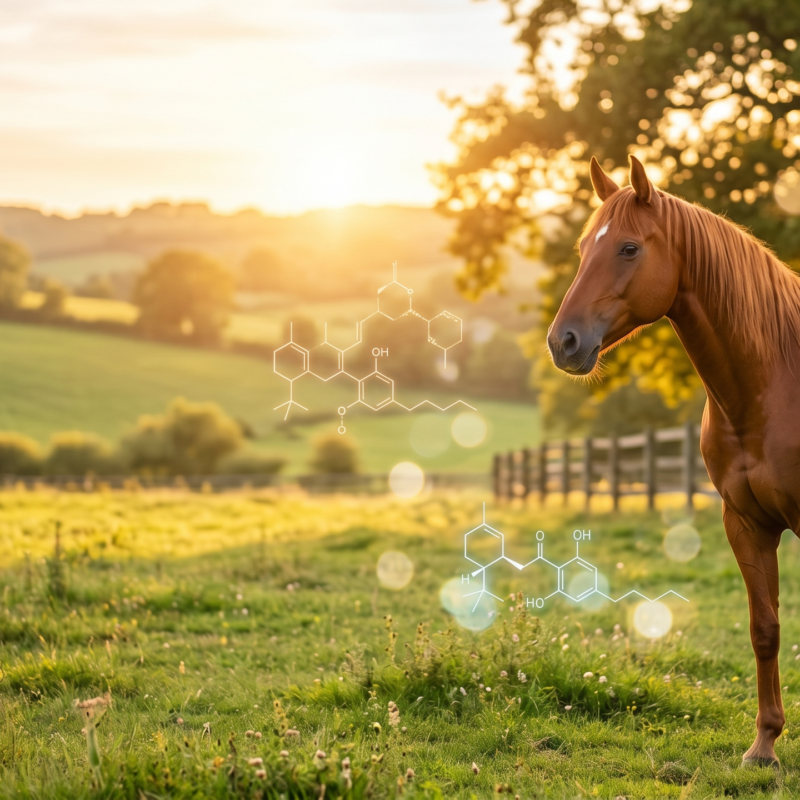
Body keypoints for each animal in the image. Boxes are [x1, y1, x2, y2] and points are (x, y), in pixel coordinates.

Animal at [547, 154, 800, 767]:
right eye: (584, 246)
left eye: (629, 248)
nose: (562, 342)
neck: (774, 383)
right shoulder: (746, 523)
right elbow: (765, 629)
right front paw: (764, 746)